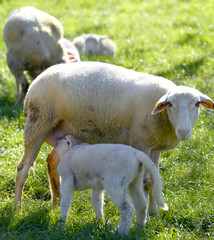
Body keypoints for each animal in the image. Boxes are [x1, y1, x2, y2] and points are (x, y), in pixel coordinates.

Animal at [13, 62, 214, 216]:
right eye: (170, 104)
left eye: (197, 104)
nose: (183, 131)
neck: (163, 118)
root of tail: (36, 81)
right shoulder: (141, 143)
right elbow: (145, 183)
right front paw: (146, 215)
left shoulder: (154, 147)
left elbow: (154, 179)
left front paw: (154, 213)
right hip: (39, 121)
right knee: (23, 168)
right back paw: (17, 208)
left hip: (61, 131)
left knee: (52, 162)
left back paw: (56, 203)